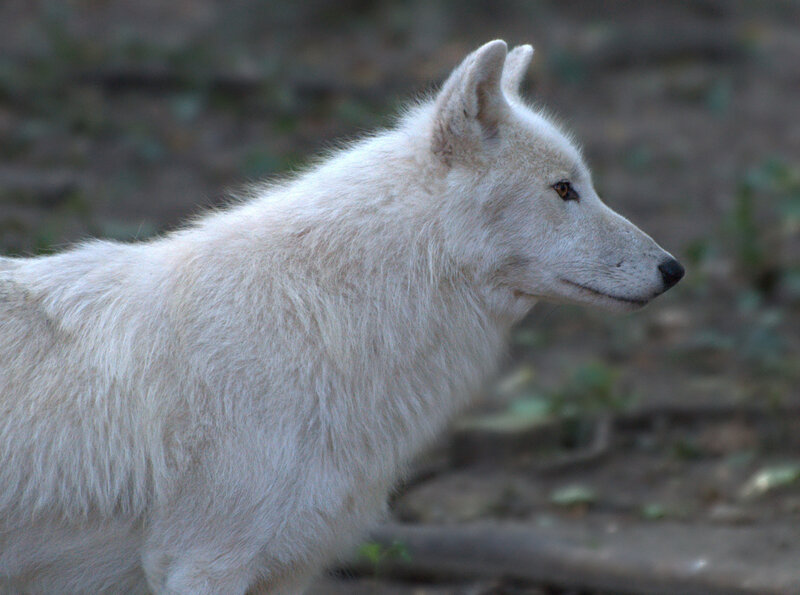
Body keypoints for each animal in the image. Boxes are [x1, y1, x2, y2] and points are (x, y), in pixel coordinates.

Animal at [0, 40, 683, 594]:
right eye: (564, 189)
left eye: (583, 185)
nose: (674, 269)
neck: (320, 317)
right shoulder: (202, 565)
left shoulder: (284, 570)